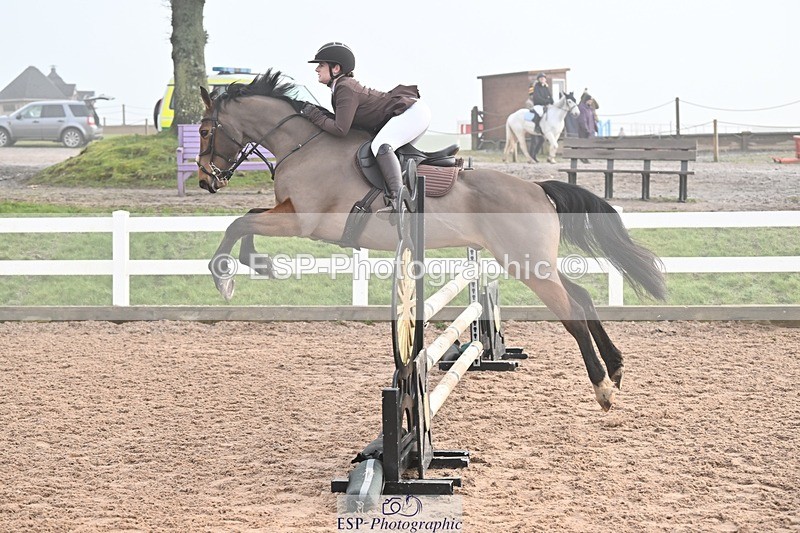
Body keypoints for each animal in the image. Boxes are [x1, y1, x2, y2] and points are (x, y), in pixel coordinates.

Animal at [195, 70, 666, 411]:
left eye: (203, 131)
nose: (205, 181)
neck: (303, 144)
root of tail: (538, 189)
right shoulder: (289, 213)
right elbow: (245, 222)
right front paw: (252, 266)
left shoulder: (303, 221)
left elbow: (238, 224)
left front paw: (225, 278)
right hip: (532, 262)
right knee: (582, 298)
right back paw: (616, 370)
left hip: (526, 264)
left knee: (573, 314)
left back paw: (603, 388)